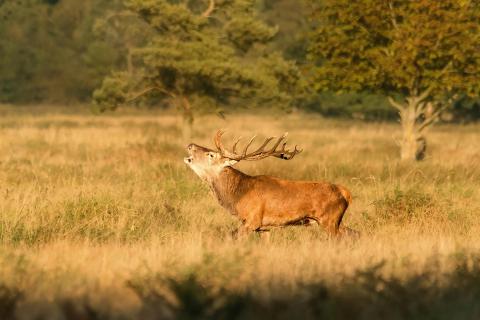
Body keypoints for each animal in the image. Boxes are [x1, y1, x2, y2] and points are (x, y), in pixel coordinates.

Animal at [184, 130, 356, 238]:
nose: (190, 144)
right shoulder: (264, 228)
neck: (237, 196)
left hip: (329, 220)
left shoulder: (252, 220)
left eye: (211, 154)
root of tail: (346, 193)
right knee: (353, 233)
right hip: (333, 221)